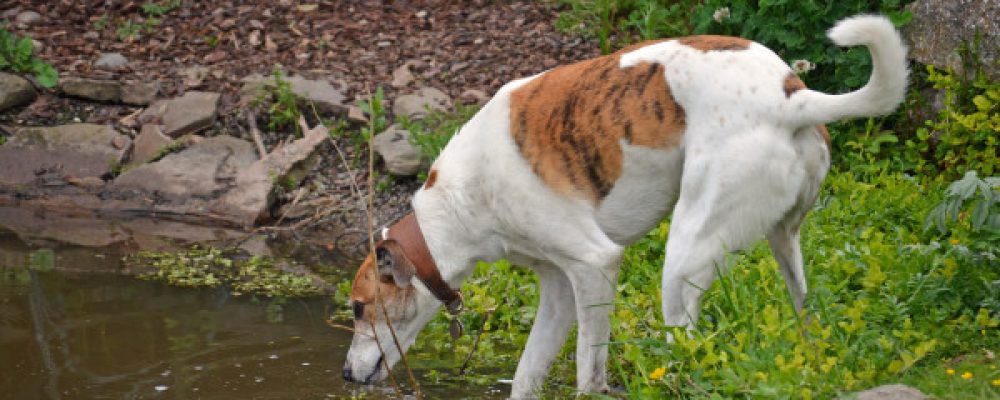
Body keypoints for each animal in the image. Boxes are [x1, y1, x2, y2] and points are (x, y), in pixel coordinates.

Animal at [342, 14, 908, 396]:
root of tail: (790, 95)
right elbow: (526, 376)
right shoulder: (558, 289)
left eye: (358, 307)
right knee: (804, 307)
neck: (456, 205)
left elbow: (588, 376)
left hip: (682, 265)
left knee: (686, 353)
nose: (345, 373)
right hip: (785, 246)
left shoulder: (595, 267)